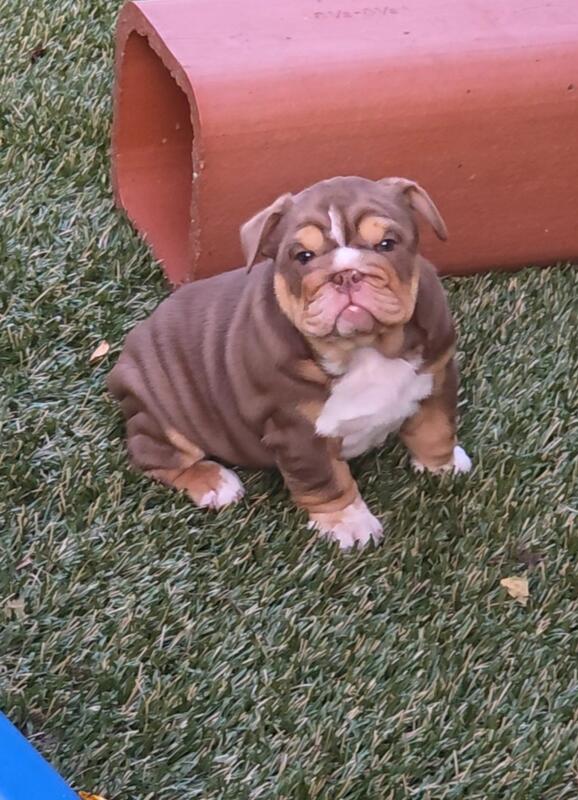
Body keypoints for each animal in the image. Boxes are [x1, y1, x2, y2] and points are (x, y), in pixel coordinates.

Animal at [108, 176, 471, 549]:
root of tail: (124, 362)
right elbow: (328, 482)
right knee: (156, 456)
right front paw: (348, 523)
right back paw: (214, 482)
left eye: (387, 244)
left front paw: (443, 466)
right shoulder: (298, 432)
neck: (363, 347)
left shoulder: (437, 377)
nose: (346, 274)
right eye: (303, 257)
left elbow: (436, 430)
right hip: (161, 417)